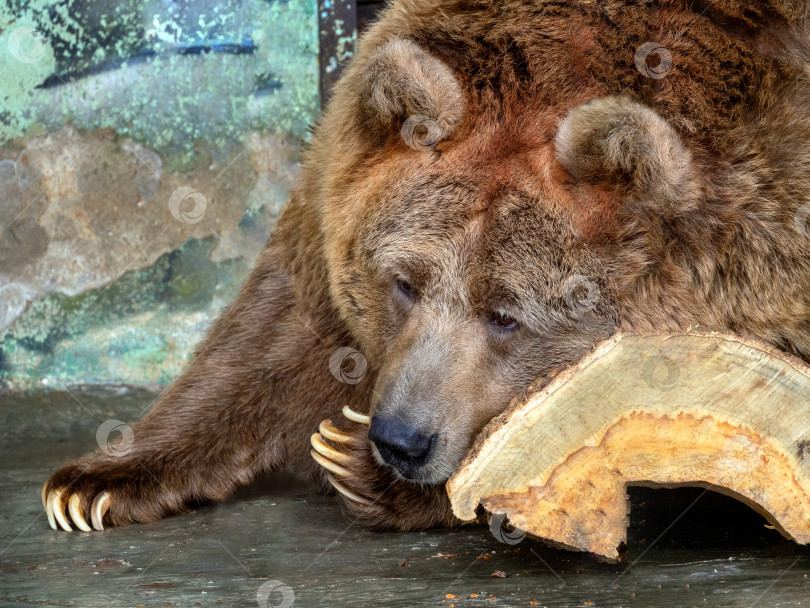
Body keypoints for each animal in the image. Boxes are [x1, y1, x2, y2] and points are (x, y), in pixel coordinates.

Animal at [42, 0, 808, 532]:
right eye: (403, 283)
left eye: (508, 315)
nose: (400, 440)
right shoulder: (336, 194)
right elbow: (274, 326)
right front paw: (95, 482)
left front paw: (356, 463)